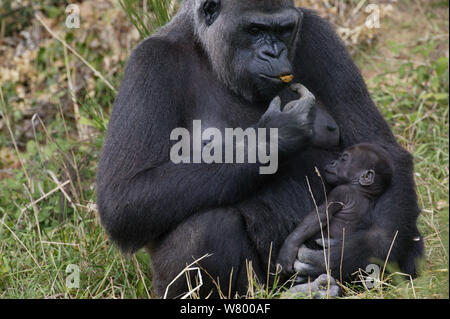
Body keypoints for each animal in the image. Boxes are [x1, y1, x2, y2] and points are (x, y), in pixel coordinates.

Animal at [276, 142, 396, 276]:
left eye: (344, 159)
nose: (333, 162)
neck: (365, 191)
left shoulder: (341, 191)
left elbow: (320, 215)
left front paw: (289, 247)